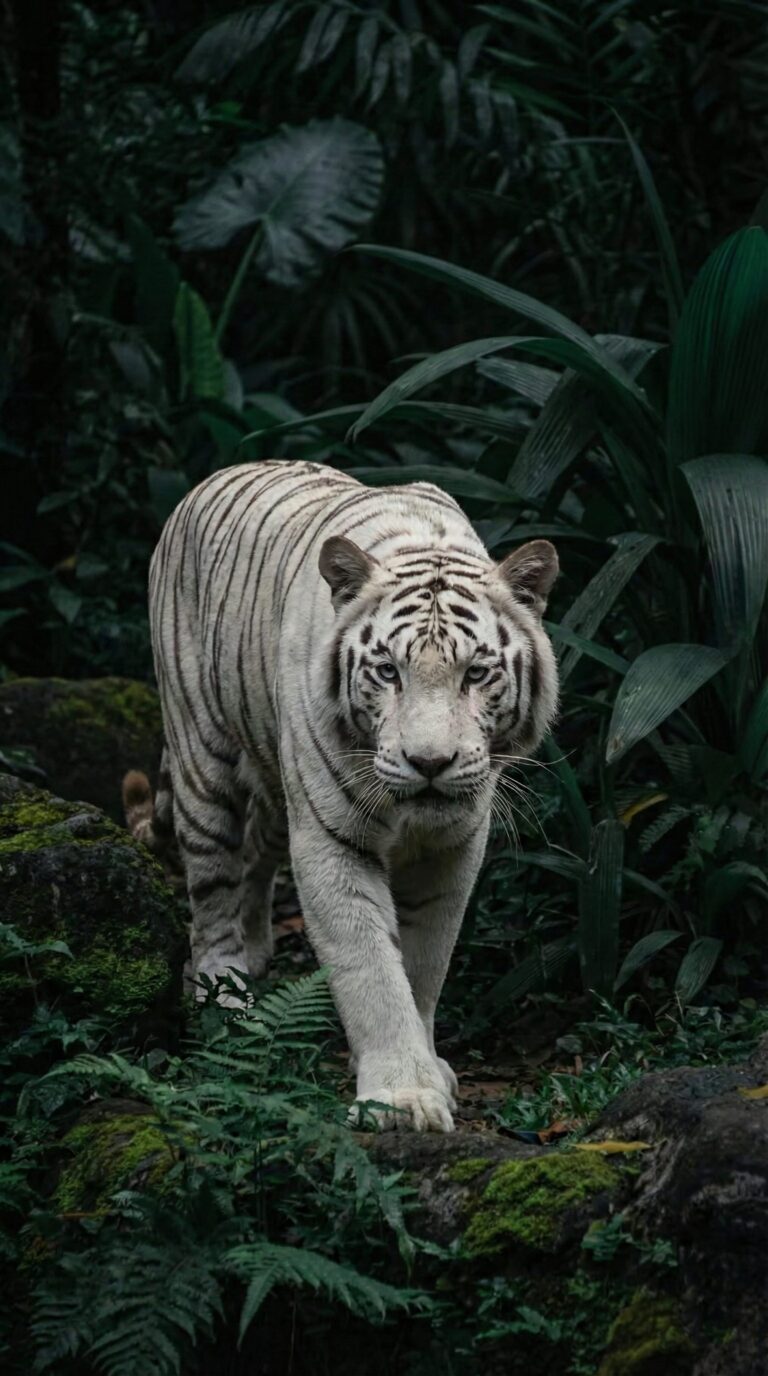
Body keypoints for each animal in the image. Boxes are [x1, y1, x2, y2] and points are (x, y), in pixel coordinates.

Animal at [127, 460, 559, 1133]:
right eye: (388, 672)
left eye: (476, 673)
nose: (429, 763)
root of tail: (216, 475)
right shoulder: (332, 842)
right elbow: (371, 969)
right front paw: (402, 1098)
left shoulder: (453, 848)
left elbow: (424, 965)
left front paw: (427, 1069)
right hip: (203, 754)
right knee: (212, 888)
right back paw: (225, 998)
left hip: (274, 781)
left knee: (256, 856)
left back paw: (257, 953)